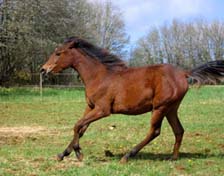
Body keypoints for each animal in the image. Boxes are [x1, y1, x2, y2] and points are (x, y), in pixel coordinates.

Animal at [40, 37, 224, 164]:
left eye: (58, 53)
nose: (43, 69)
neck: (99, 76)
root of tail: (184, 73)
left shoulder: (103, 110)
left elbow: (77, 125)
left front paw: (78, 153)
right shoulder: (90, 107)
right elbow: (81, 128)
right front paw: (63, 154)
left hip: (160, 107)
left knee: (155, 131)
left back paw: (127, 156)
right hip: (171, 109)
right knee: (179, 130)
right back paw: (173, 158)